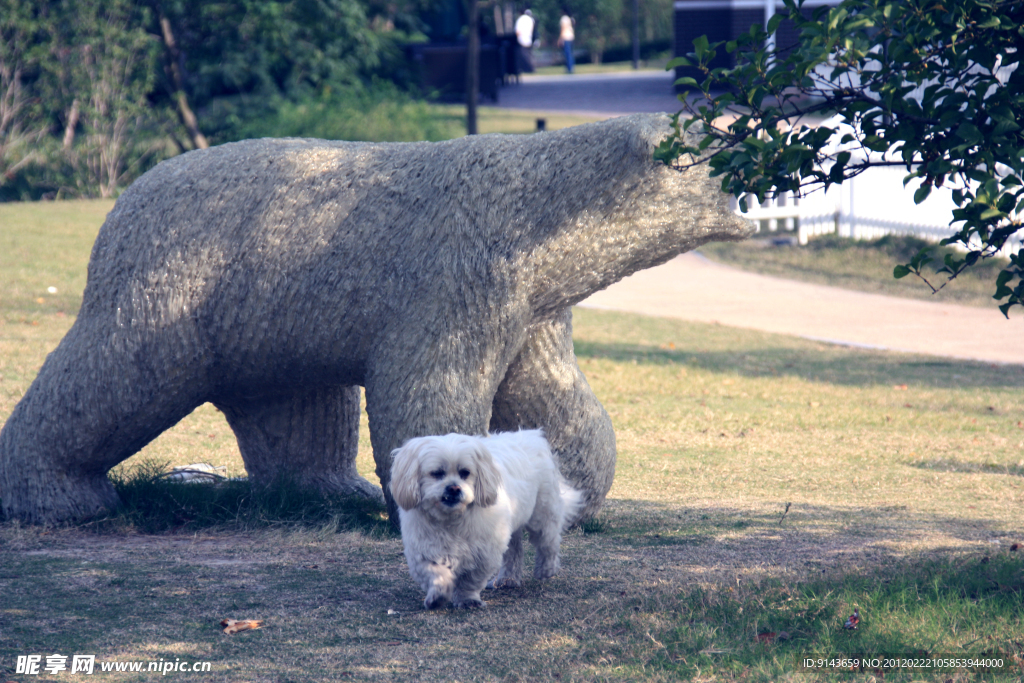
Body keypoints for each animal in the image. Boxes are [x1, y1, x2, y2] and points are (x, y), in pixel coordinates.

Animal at [389, 430, 585, 610]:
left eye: (465, 473)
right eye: (436, 473)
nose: (453, 488)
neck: (452, 518)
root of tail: (531, 435)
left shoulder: (483, 552)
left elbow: (470, 579)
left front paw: (468, 599)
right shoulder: (424, 550)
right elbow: (435, 574)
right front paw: (437, 596)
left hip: (542, 516)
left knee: (548, 542)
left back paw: (546, 570)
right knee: (514, 551)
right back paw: (507, 579)